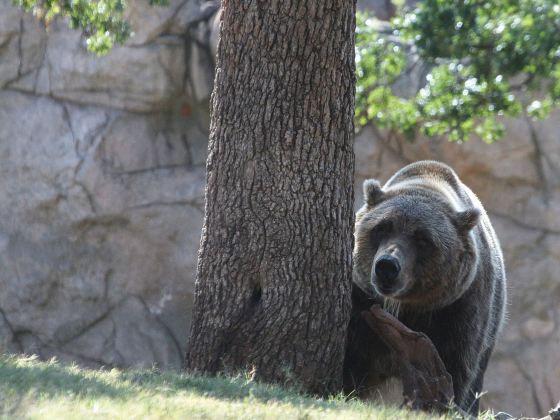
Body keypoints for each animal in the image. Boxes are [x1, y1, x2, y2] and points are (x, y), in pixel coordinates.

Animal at [344, 160, 510, 414]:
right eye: (382, 227)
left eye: (422, 239)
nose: (387, 266)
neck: (404, 308)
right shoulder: (361, 302)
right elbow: (353, 358)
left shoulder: (457, 310)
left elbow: (456, 367)